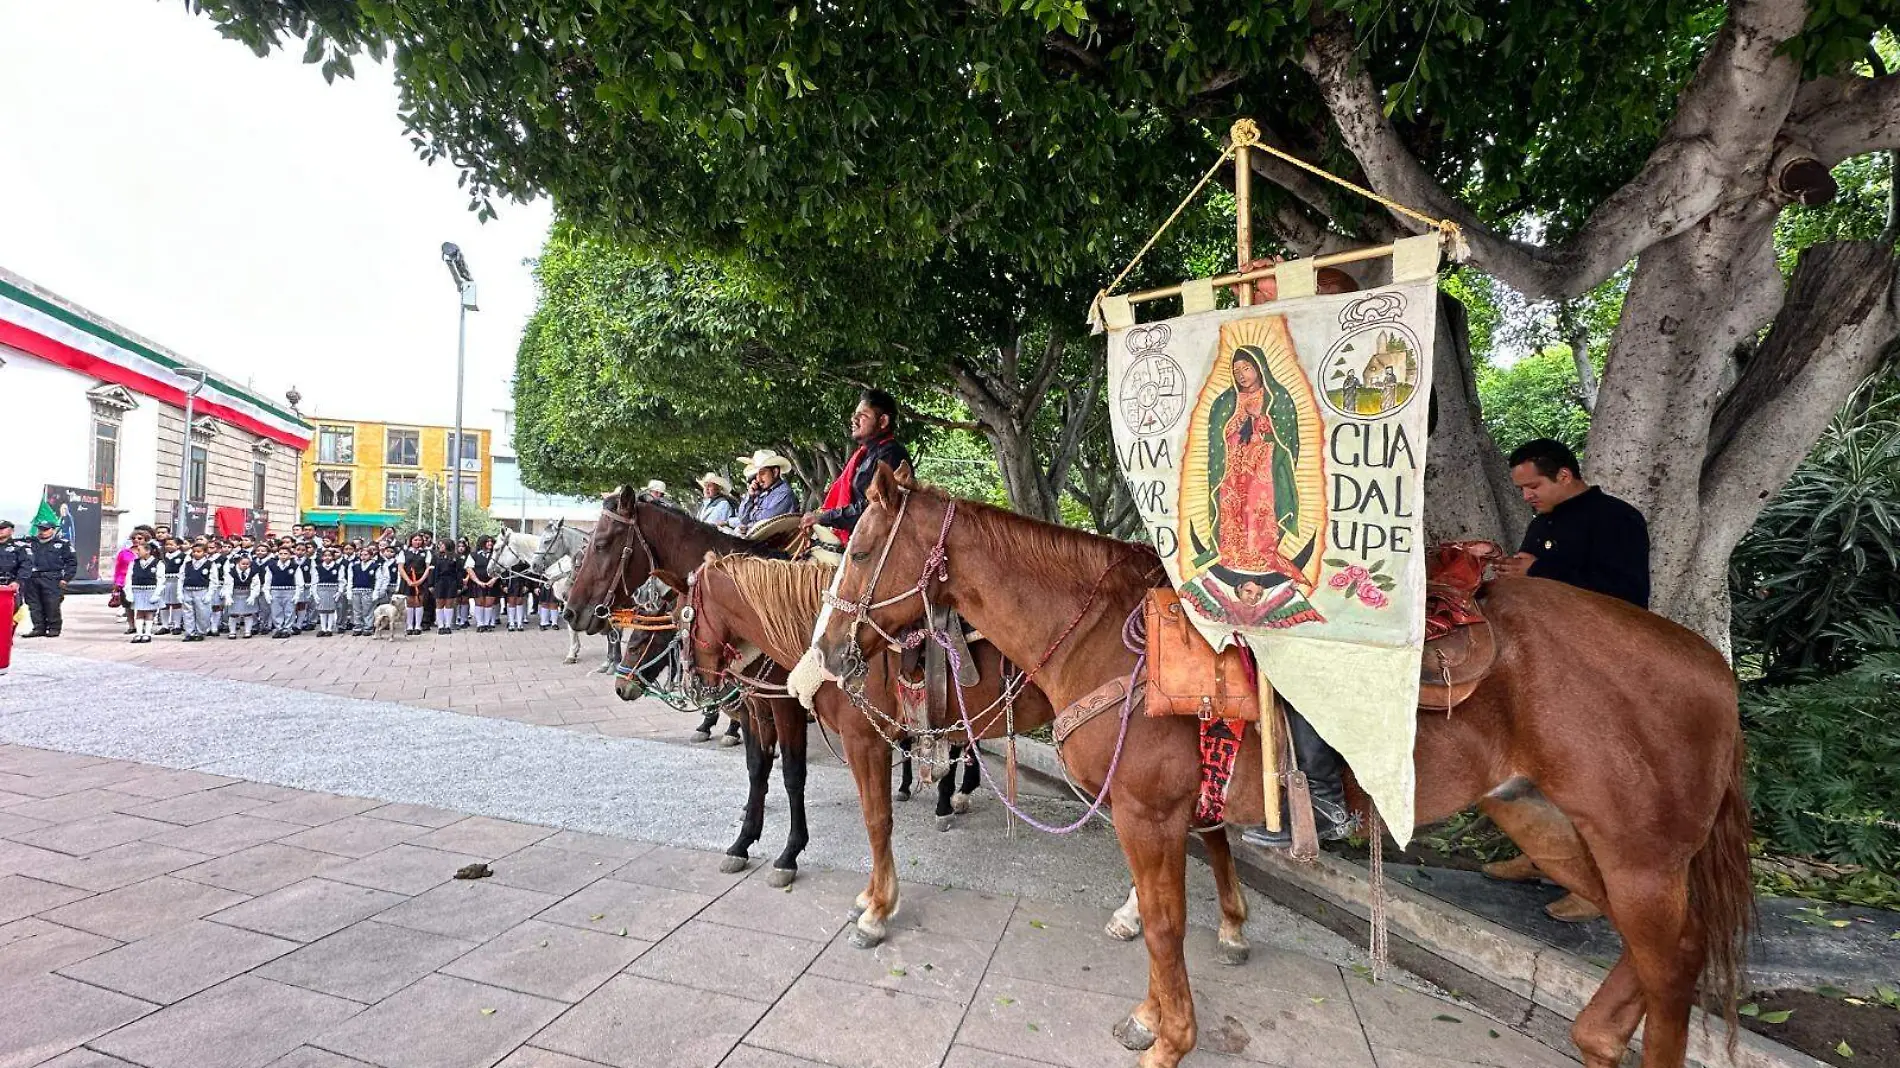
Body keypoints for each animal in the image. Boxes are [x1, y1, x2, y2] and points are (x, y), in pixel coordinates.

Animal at [817, 463, 1748, 1064]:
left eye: (859, 553)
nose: (827, 652)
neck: (1104, 636)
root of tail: (1713, 667)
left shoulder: (1148, 815)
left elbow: (1166, 926)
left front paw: (1170, 1039)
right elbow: (1170, 915)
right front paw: (1154, 1018)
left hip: (1638, 852)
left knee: (1674, 965)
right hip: (1551, 823)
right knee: (1665, 950)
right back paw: (1596, 1036)